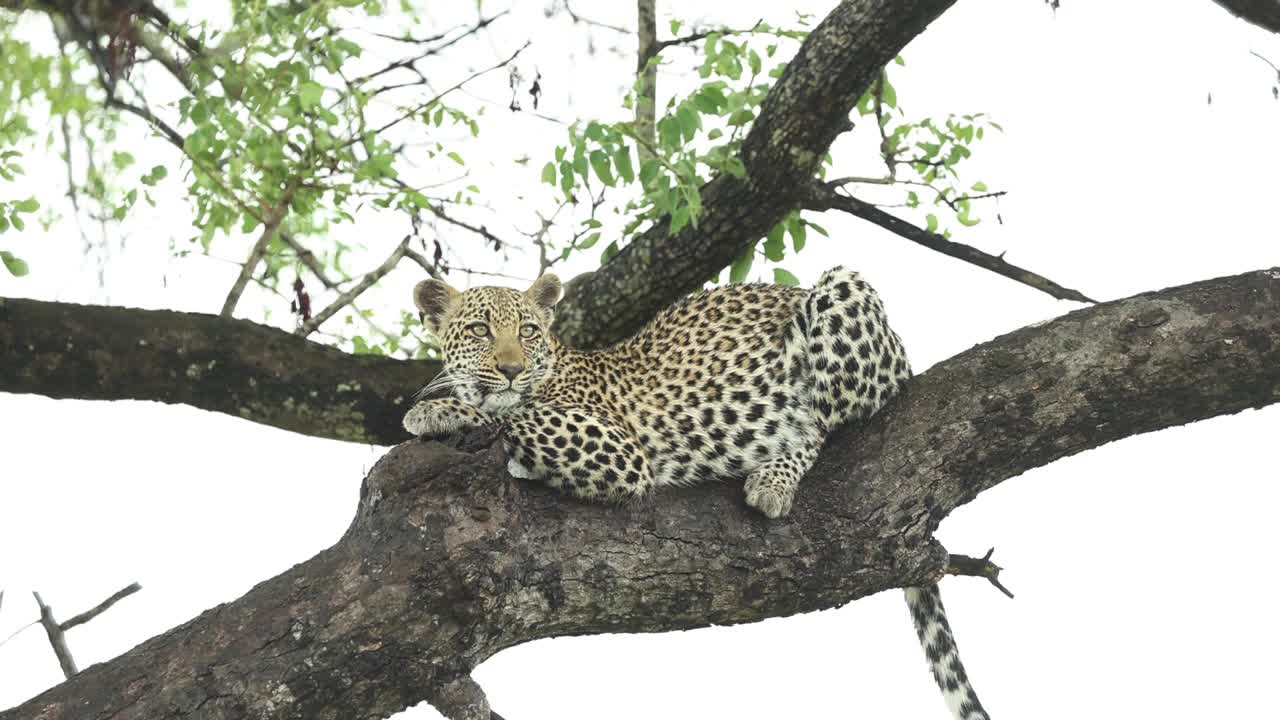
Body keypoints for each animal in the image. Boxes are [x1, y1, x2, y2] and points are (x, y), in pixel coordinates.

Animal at [401, 268, 990, 720]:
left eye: (526, 331)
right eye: (479, 329)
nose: (511, 369)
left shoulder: (619, 452)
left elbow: (515, 412)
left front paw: (435, 409)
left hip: (840, 295)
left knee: (825, 420)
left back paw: (773, 479)